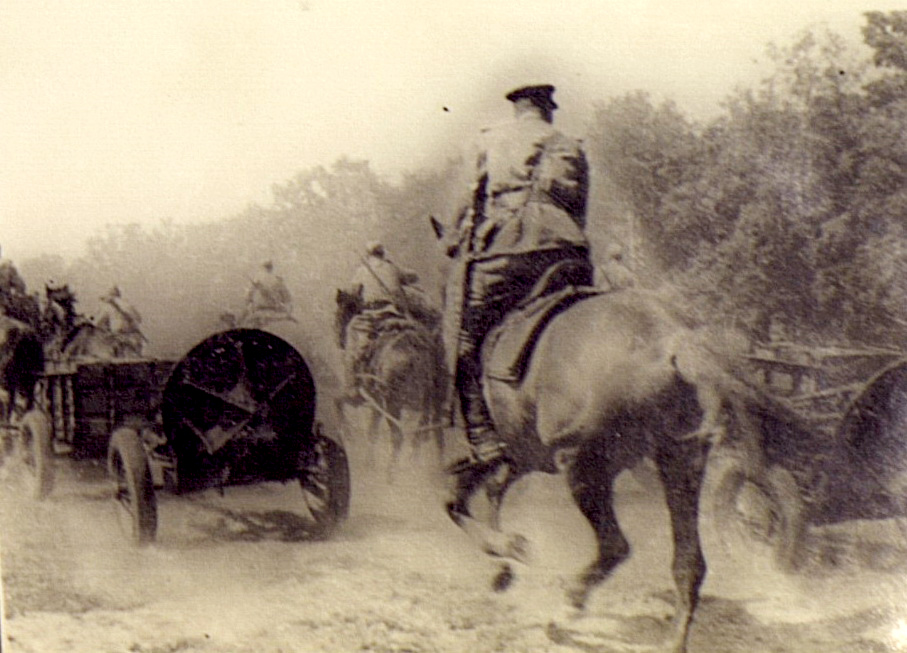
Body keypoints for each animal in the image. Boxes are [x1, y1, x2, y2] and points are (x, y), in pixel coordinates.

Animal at [446, 290, 780, 652]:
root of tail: (673, 343)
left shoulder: (516, 453)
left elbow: (458, 499)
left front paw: (507, 550)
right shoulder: (522, 456)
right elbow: (484, 492)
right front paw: (504, 566)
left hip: (583, 466)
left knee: (615, 546)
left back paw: (567, 608)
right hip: (679, 462)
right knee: (689, 562)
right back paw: (673, 640)